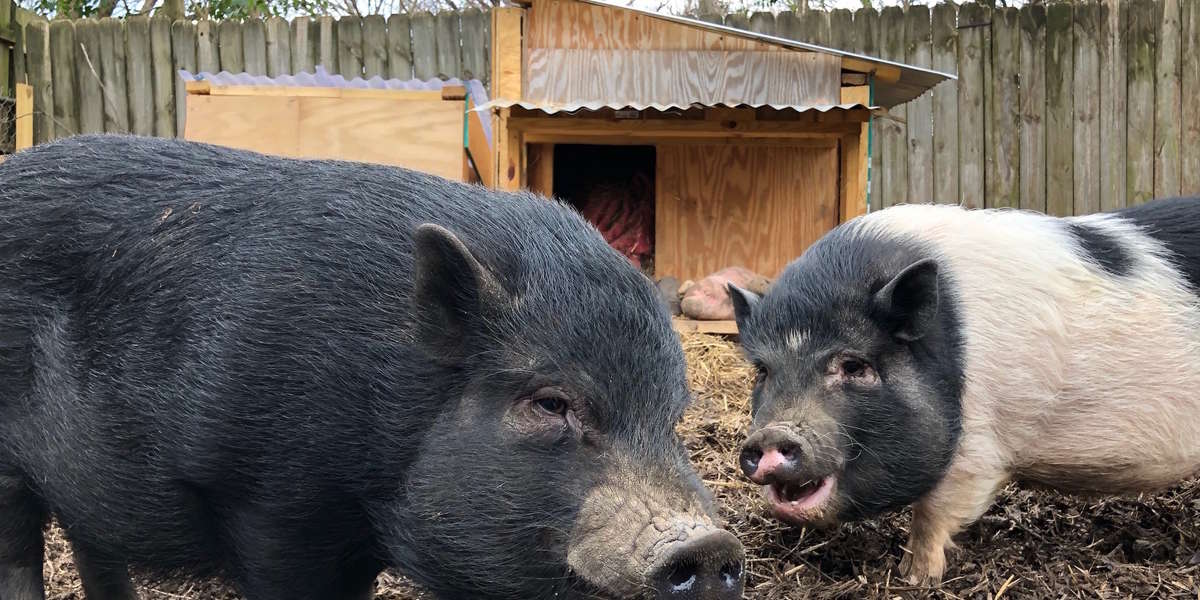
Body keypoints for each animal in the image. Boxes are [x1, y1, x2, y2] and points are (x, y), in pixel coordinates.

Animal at [726, 199, 1200, 585]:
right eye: (763, 371)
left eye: (854, 366)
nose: (771, 435)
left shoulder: (977, 450)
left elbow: (932, 515)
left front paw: (914, 578)